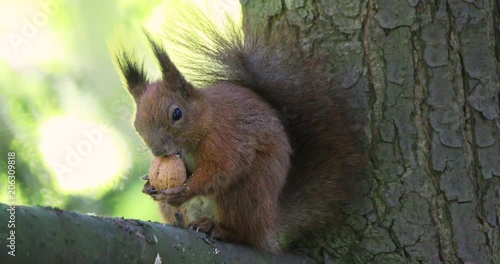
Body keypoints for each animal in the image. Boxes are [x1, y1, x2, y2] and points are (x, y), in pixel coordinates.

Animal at [116, 8, 368, 253]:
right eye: (137, 125)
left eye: (176, 114)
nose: (158, 152)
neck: (207, 121)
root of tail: (267, 227)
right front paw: (148, 184)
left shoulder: (226, 137)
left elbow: (221, 169)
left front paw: (185, 190)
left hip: (245, 193)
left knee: (244, 234)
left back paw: (219, 230)